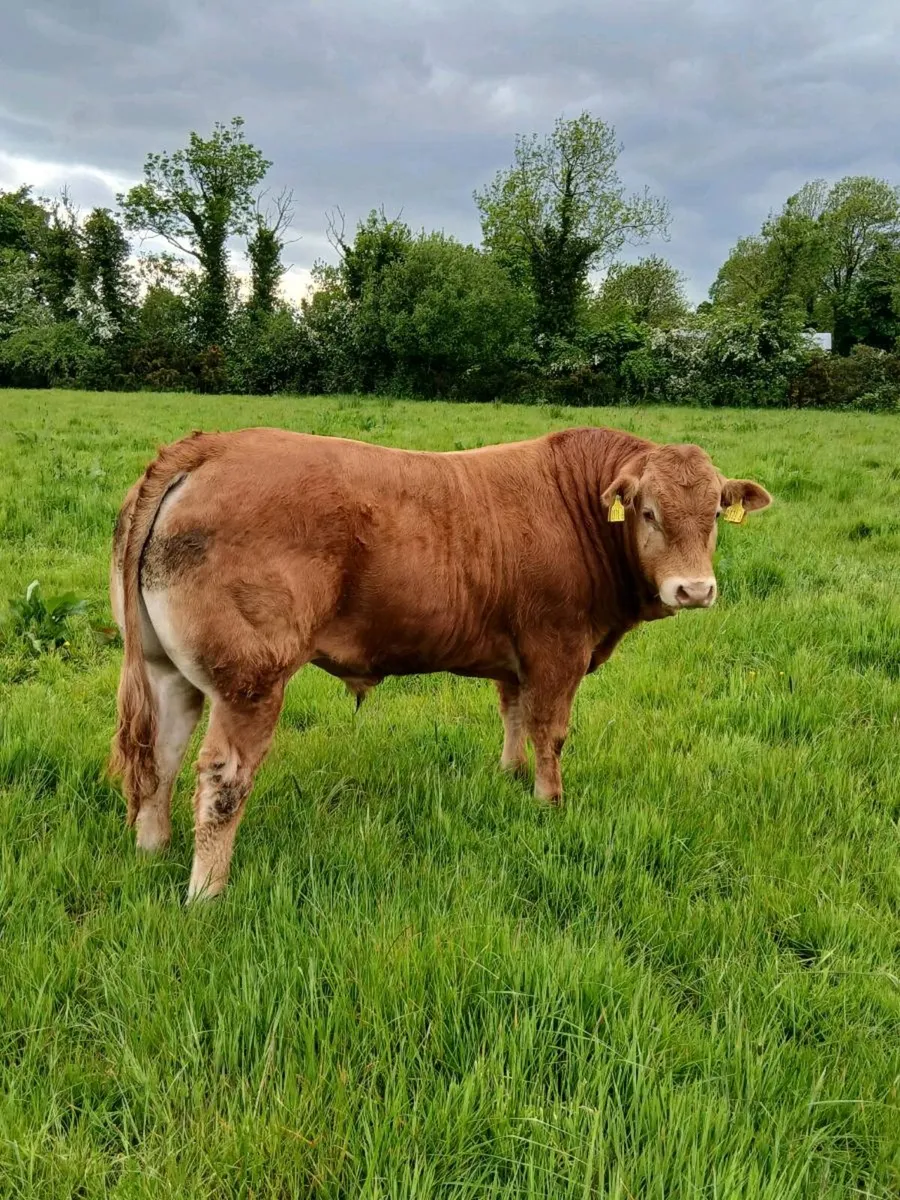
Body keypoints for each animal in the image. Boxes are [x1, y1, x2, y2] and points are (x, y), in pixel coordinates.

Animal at [109, 425, 771, 900]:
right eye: (648, 511)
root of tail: (210, 446)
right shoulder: (559, 646)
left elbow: (513, 712)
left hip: (168, 672)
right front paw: (548, 801)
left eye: (715, 512)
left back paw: (152, 848)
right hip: (250, 680)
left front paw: (509, 775)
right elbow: (550, 730)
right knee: (222, 779)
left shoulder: (516, 654)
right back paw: (206, 893)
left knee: (160, 756)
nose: (694, 590)